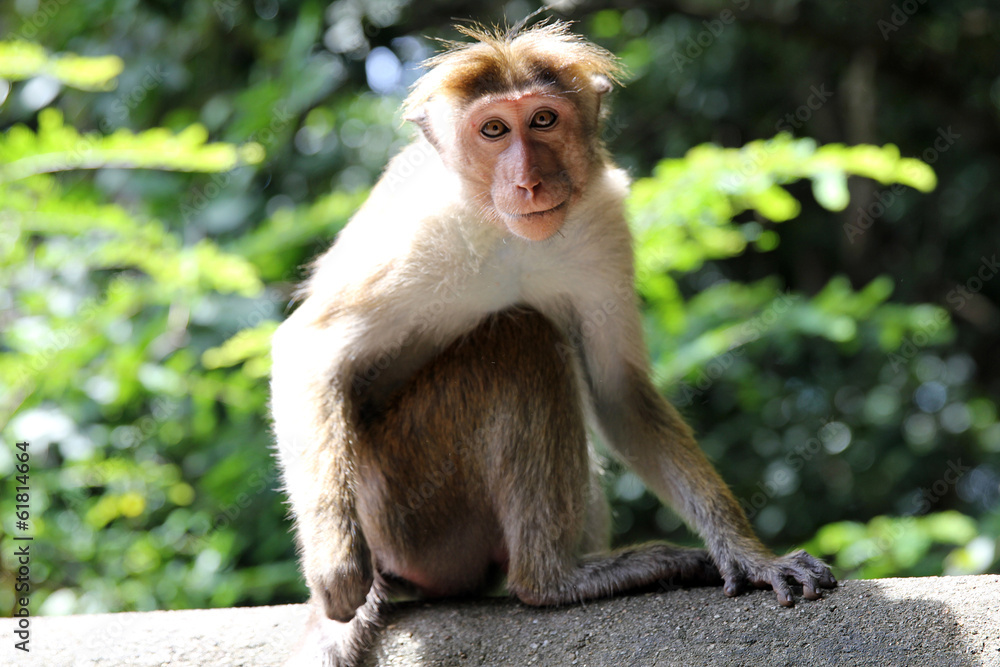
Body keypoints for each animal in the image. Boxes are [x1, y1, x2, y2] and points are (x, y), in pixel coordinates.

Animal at [271, 20, 836, 667]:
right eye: (493, 129)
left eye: (543, 119)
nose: (529, 181)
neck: (509, 235)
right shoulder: (423, 234)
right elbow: (308, 350)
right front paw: (336, 567)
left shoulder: (603, 222)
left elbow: (620, 391)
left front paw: (751, 555)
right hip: (404, 503)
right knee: (523, 339)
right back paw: (553, 581)